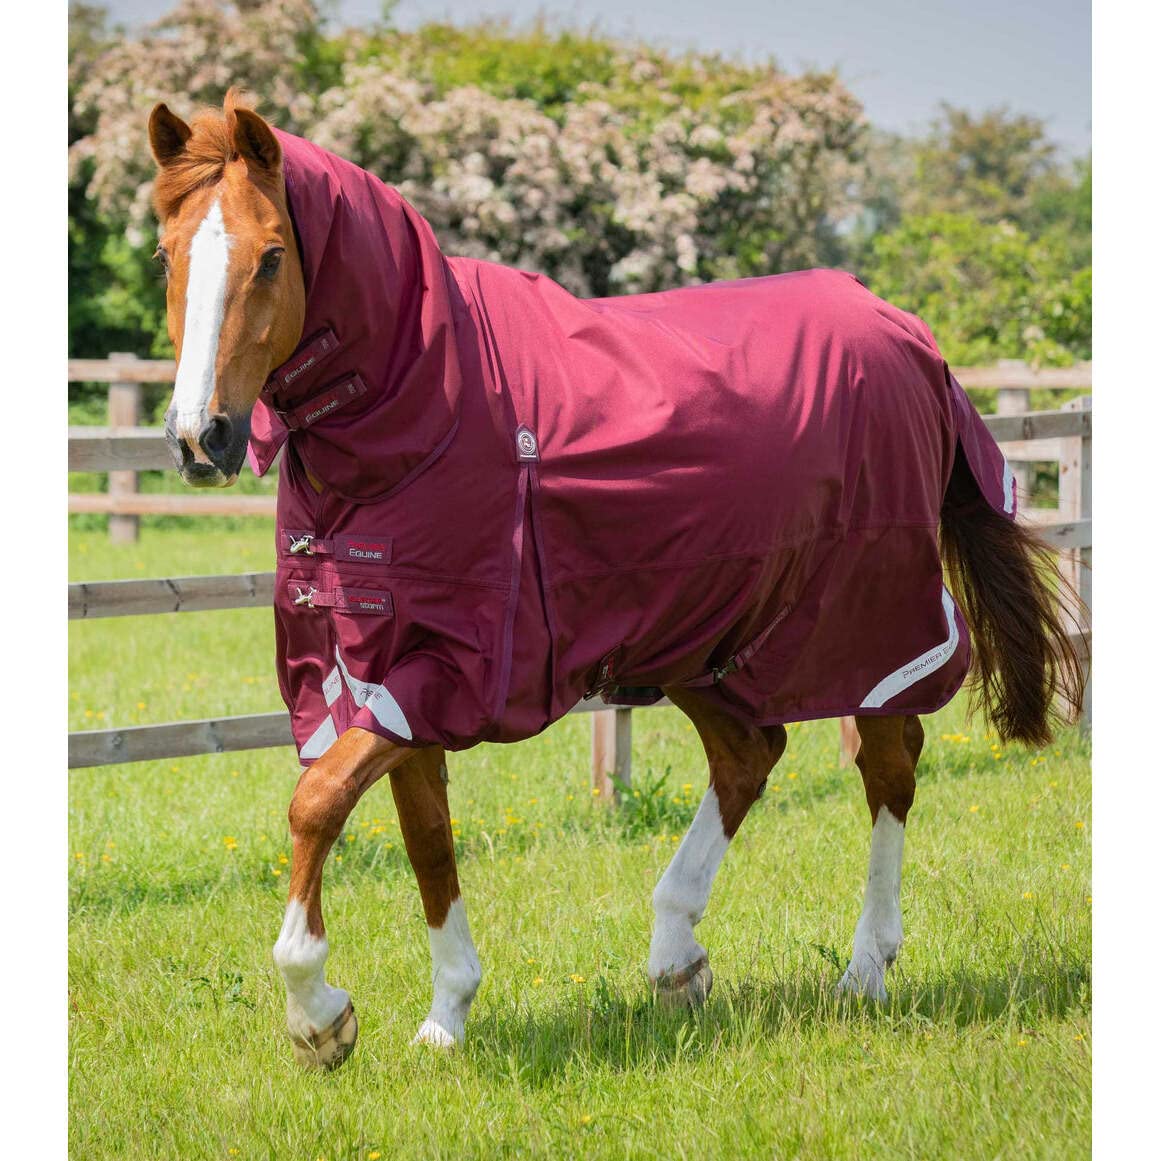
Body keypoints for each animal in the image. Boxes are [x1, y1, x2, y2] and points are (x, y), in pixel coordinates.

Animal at [146, 90, 1084, 1070]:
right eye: (166, 256)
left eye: (272, 255)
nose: (200, 437)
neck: (432, 396)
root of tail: (908, 335)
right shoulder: (383, 670)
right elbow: (425, 838)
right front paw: (445, 1016)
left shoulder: (443, 668)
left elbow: (317, 803)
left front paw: (319, 1014)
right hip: (707, 630)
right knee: (749, 754)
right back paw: (676, 955)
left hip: (866, 627)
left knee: (887, 763)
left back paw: (864, 968)